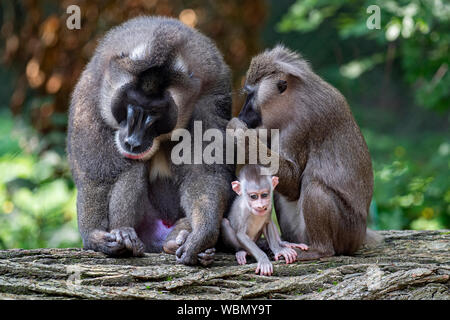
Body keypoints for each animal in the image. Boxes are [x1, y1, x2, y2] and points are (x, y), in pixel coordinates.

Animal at [68, 16, 236, 264]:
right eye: (132, 104)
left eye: (155, 112)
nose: (133, 141)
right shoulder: (90, 94)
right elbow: (98, 174)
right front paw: (94, 236)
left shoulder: (209, 100)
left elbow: (204, 173)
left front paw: (200, 236)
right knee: (132, 167)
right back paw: (125, 235)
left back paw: (179, 238)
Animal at [229, 45, 380, 260]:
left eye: (251, 95)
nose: (242, 114)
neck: (294, 99)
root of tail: (360, 236)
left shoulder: (300, 126)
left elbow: (294, 182)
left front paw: (238, 132)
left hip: (347, 231)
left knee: (314, 186)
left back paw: (319, 250)